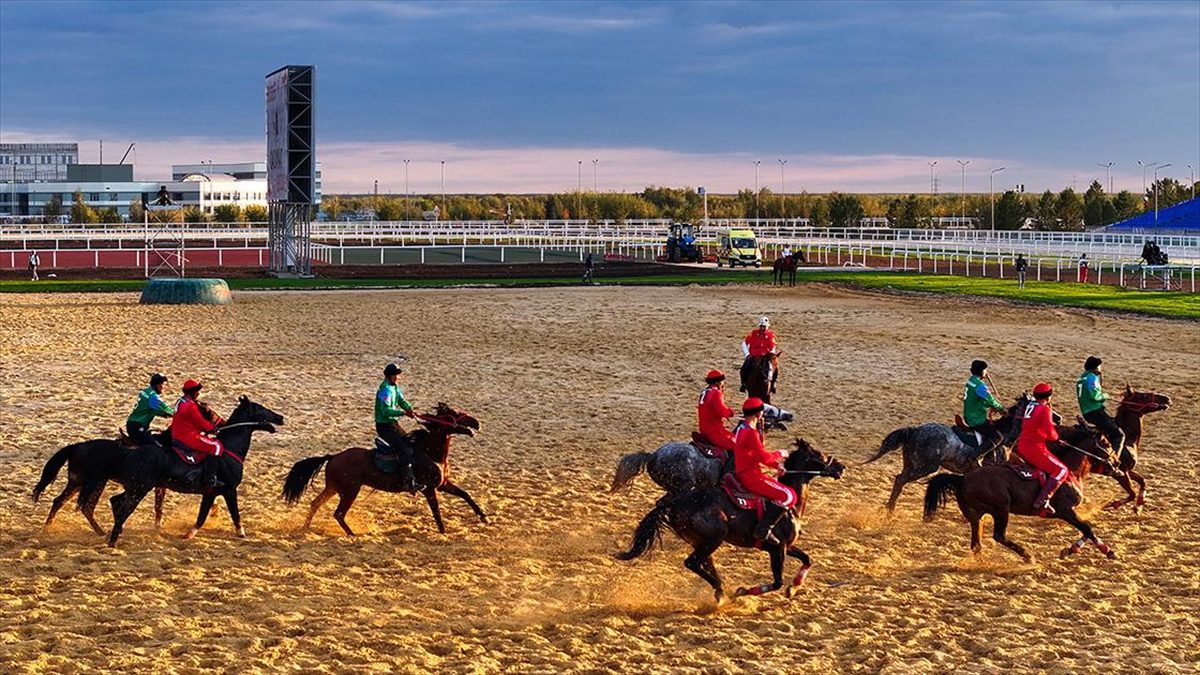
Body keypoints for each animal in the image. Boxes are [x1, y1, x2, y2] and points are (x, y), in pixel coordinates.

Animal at [102, 393, 280, 547]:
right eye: (260, 408)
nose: (280, 417)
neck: (230, 449)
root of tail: (130, 450)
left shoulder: (210, 493)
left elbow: (202, 515)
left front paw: (189, 533)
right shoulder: (229, 490)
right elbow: (234, 513)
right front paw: (241, 533)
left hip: (135, 487)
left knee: (116, 501)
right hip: (139, 488)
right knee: (122, 507)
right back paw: (113, 539)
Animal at [280, 398, 482, 535]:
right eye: (452, 414)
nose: (476, 422)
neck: (430, 453)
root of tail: (334, 457)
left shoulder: (443, 485)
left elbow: (466, 495)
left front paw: (483, 516)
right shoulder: (429, 489)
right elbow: (437, 511)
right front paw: (443, 531)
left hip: (334, 488)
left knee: (315, 504)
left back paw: (305, 528)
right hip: (349, 491)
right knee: (338, 513)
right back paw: (353, 535)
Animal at [614, 439, 849, 600]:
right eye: (819, 454)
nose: (840, 466)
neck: (791, 507)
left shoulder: (787, 546)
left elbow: (807, 559)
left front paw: (794, 586)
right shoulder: (777, 548)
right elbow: (777, 582)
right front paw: (743, 591)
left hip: (700, 541)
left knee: (703, 563)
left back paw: (720, 590)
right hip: (714, 537)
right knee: (692, 562)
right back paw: (721, 591)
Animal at [921, 439, 1118, 559]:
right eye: (1108, 445)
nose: (1117, 464)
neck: (1070, 473)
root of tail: (963, 478)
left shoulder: (1069, 513)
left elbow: (1086, 529)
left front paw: (1069, 550)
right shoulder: (1065, 511)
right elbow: (1087, 528)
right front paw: (1108, 551)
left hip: (976, 516)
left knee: (976, 544)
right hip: (1001, 510)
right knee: (999, 536)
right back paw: (1027, 556)